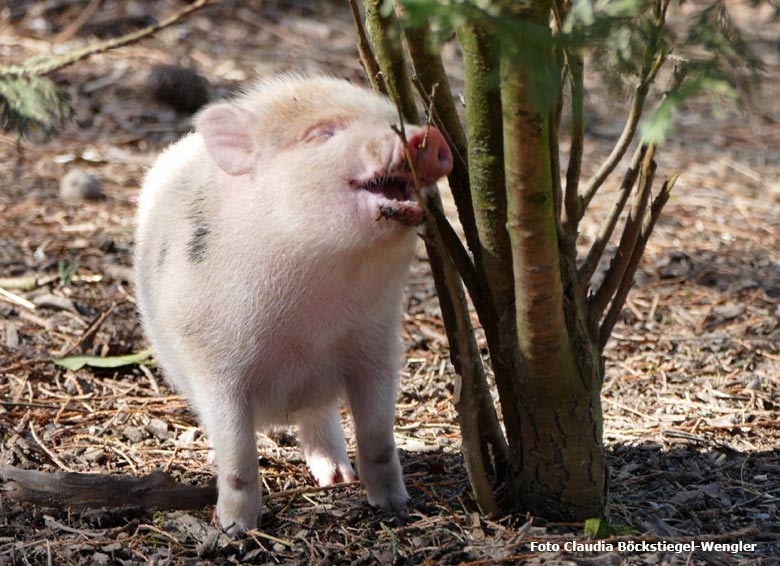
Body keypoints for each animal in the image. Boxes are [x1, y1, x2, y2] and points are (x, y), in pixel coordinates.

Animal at [133, 76, 450, 536]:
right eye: (323, 133)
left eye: (391, 117)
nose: (428, 136)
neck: (309, 324)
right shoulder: (211, 364)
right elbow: (237, 455)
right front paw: (234, 530)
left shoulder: (378, 345)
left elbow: (378, 438)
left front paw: (395, 506)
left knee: (320, 416)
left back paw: (337, 478)